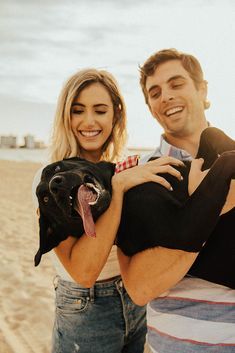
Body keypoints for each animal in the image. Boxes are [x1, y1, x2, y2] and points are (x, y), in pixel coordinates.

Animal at [35, 128, 235, 288]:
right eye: (45, 199)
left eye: (57, 168)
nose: (55, 185)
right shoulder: (183, 228)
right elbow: (224, 160)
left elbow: (209, 133)